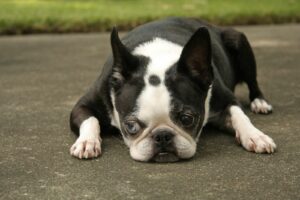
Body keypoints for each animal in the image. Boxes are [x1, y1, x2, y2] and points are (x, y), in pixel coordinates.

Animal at [69, 17, 276, 162]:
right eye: (131, 126)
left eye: (187, 119)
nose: (162, 136)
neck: (158, 56)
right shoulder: (83, 105)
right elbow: (90, 119)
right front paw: (87, 142)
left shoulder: (226, 98)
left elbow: (239, 116)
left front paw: (255, 135)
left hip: (238, 40)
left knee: (253, 83)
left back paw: (260, 102)